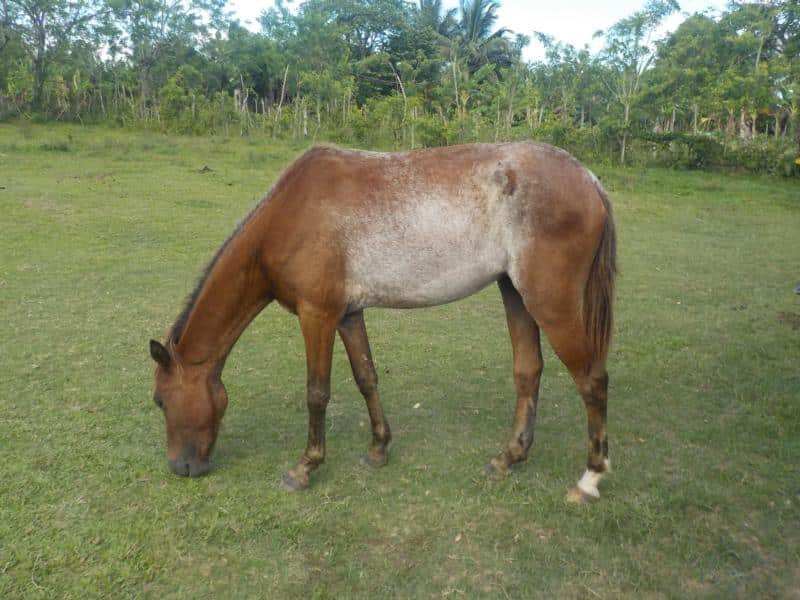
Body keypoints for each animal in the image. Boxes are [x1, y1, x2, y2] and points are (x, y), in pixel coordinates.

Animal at [149, 141, 616, 503]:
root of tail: (589, 180)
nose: (181, 466)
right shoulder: (348, 314)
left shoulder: (317, 315)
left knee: (591, 379)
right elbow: (366, 377)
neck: (290, 214)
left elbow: (317, 392)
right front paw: (378, 448)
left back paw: (589, 479)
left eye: (160, 401)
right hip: (515, 294)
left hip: (550, 303)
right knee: (528, 372)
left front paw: (305, 467)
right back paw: (508, 457)